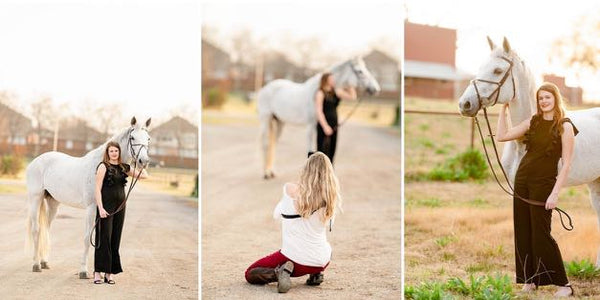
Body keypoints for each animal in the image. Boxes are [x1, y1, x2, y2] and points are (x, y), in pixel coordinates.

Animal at [26, 116, 150, 278]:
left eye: (148, 138)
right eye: (133, 137)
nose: (144, 161)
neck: (99, 165)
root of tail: (35, 161)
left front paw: (100, 273)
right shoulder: (92, 208)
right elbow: (87, 238)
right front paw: (83, 271)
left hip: (53, 203)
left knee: (46, 228)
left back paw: (44, 262)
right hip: (35, 199)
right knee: (36, 229)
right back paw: (36, 265)